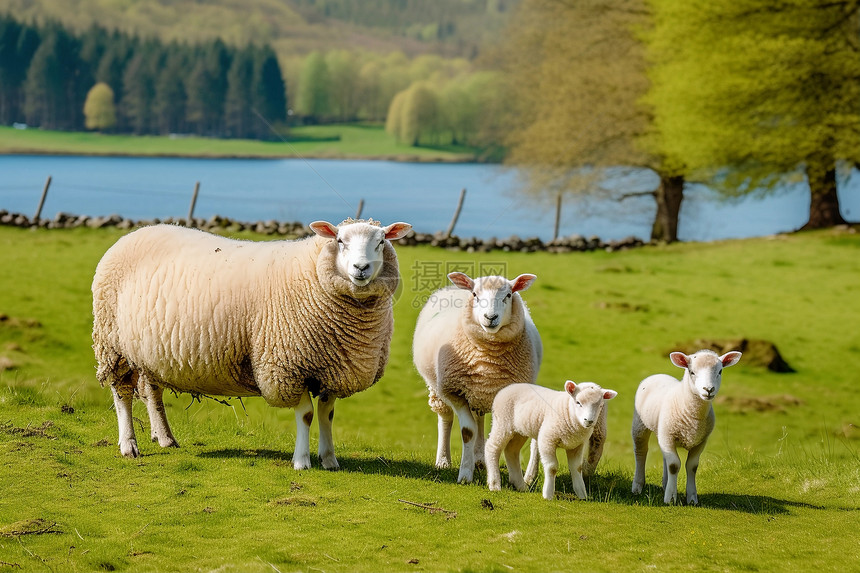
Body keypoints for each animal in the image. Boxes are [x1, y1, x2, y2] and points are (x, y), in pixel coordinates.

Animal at [89, 219, 412, 470]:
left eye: (381, 241)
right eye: (340, 240)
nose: (361, 268)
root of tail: (133, 234)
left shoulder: (332, 368)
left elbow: (326, 415)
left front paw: (329, 459)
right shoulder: (288, 366)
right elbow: (307, 415)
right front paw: (302, 461)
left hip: (149, 351)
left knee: (152, 392)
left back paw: (165, 437)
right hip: (113, 343)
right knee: (122, 393)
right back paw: (129, 445)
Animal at [412, 272, 544, 482]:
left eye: (508, 295)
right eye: (475, 294)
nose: (490, 317)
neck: (487, 363)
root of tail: (452, 288)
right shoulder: (455, 392)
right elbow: (468, 431)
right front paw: (465, 474)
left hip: (479, 392)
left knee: (479, 418)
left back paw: (480, 459)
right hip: (438, 387)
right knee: (446, 417)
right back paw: (443, 460)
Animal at [484, 382, 620, 498]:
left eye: (600, 405)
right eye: (578, 402)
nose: (589, 421)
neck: (568, 411)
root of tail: (506, 389)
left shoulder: (576, 445)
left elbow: (577, 468)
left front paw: (582, 494)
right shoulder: (546, 439)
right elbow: (552, 467)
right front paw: (548, 494)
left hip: (519, 430)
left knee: (511, 451)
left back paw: (521, 485)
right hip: (503, 423)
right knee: (492, 447)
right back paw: (494, 484)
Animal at [628, 348, 744, 504]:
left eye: (720, 371)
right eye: (692, 372)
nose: (708, 389)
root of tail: (657, 375)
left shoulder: (700, 441)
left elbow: (692, 466)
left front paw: (692, 498)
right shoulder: (669, 436)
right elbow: (674, 465)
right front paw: (671, 498)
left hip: (662, 432)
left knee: (664, 456)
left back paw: (665, 483)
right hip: (640, 425)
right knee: (641, 452)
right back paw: (637, 485)